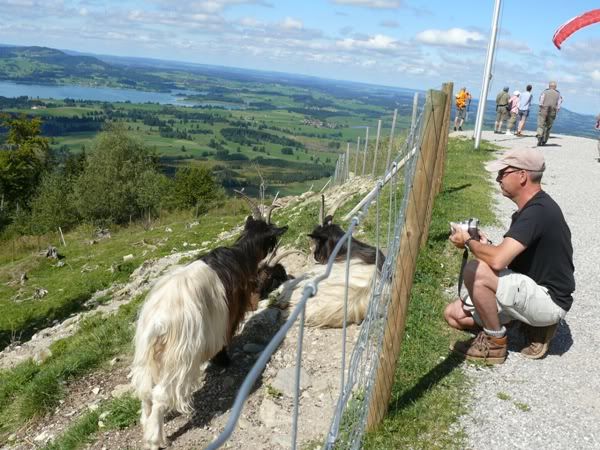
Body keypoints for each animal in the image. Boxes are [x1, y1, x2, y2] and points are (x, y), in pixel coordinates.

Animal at [131, 192, 288, 450]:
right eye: (272, 237)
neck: (239, 256)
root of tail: (158, 321)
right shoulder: (228, 314)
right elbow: (225, 338)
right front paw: (223, 360)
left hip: (147, 354)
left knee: (145, 391)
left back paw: (147, 428)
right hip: (181, 354)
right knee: (161, 394)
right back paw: (156, 440)